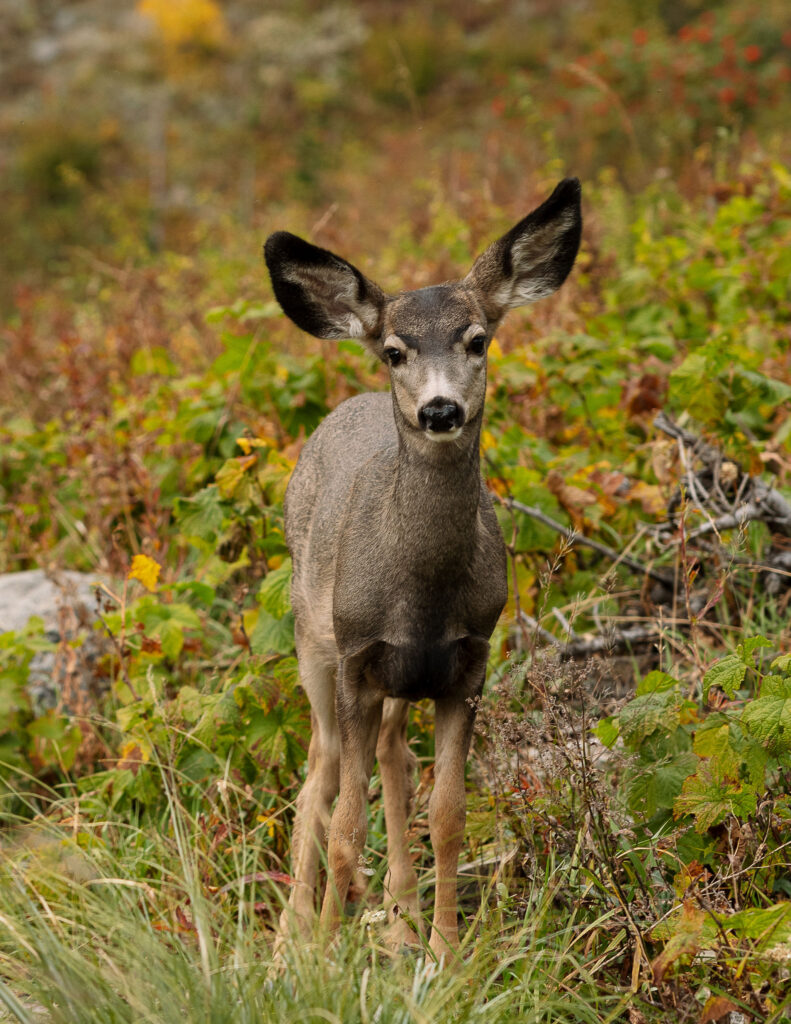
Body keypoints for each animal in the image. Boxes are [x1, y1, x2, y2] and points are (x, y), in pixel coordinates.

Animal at [263, 178, 582, 958]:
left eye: (477, 339)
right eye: (394, 351)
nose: (440, 409)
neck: (422, 595)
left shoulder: (467, 661)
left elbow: (447, 815)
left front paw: (443, 949)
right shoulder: (356, 658)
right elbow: (346, 826)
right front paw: (324, 954)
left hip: (400, 681)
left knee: (391, 758)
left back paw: (400, 919)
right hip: (310, 640)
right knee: (317, 773)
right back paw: (292, 938)